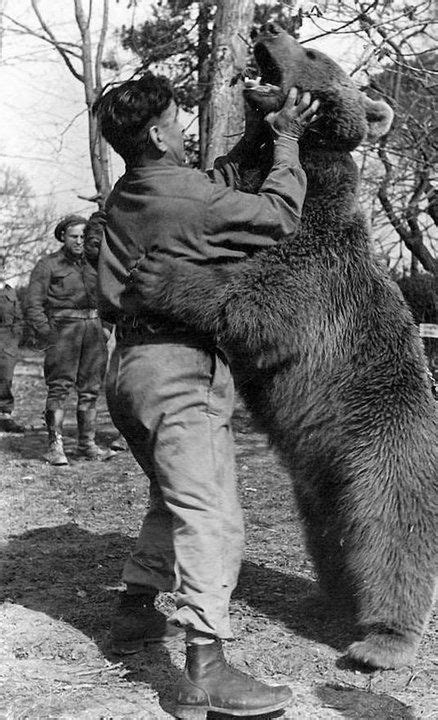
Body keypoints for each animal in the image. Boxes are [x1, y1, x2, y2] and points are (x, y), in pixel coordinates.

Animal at [125, 23, 436, 676]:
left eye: (312, 50)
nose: (268, 28)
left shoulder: (309, 259)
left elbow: (258, 302)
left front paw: (161, 273)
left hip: (385, 444)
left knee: (393, 534)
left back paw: (381, 642)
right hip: (319, 482)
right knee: (334, 536)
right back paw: (335, 597)